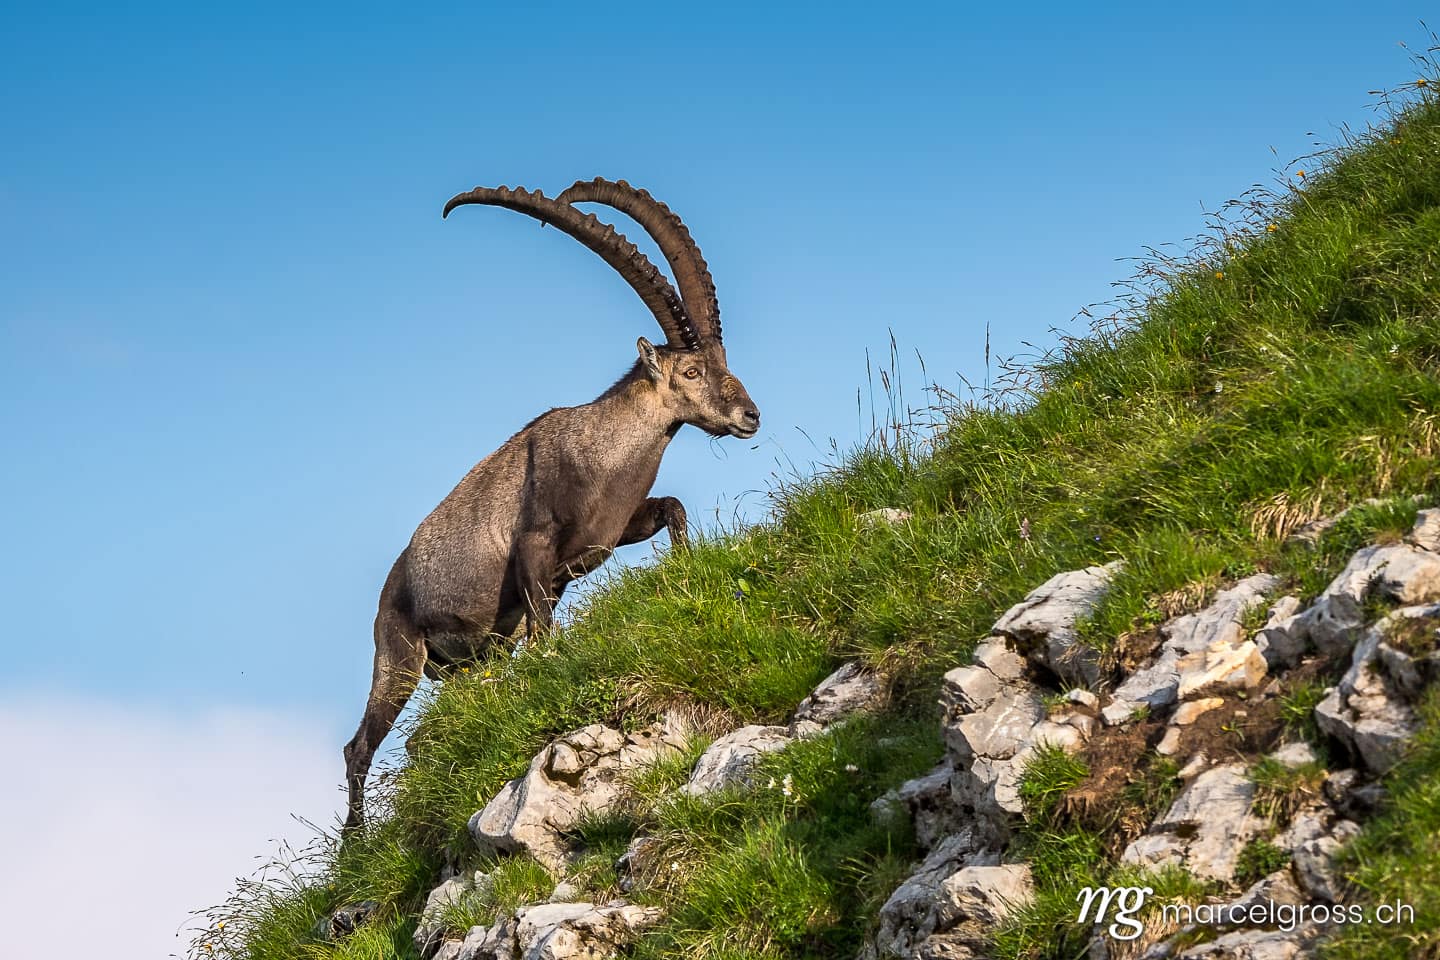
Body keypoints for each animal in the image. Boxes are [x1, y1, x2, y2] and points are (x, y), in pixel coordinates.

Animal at [342, 179, 760, 830]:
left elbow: (672, 508)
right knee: (358, 745)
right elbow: (545, 633)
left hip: (471, 659)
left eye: (722, 365)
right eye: (692, 370)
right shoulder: (534, 551)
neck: (601, 454)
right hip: (399, 657)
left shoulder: (609, 534)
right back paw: (355, 840)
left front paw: (688, 573)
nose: (750, 416)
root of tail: (389, 586)